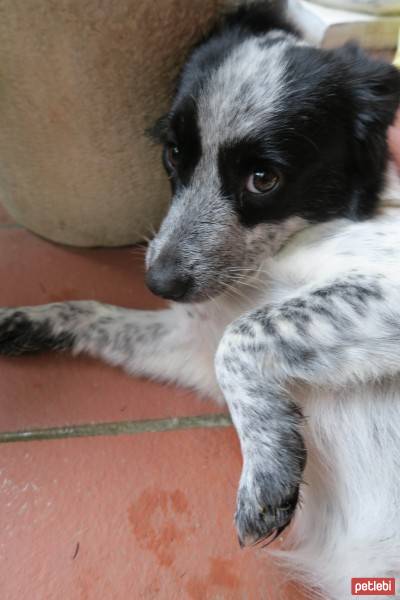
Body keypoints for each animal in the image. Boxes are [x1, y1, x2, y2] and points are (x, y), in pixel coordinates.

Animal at [2, 4, 400, 600]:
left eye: (264, 177)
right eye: (173, 154)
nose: (158, 281)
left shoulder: (382, 284)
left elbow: (243, 335)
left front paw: (267, 466)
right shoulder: (192, 338)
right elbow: (99, 313)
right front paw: (30, 320)